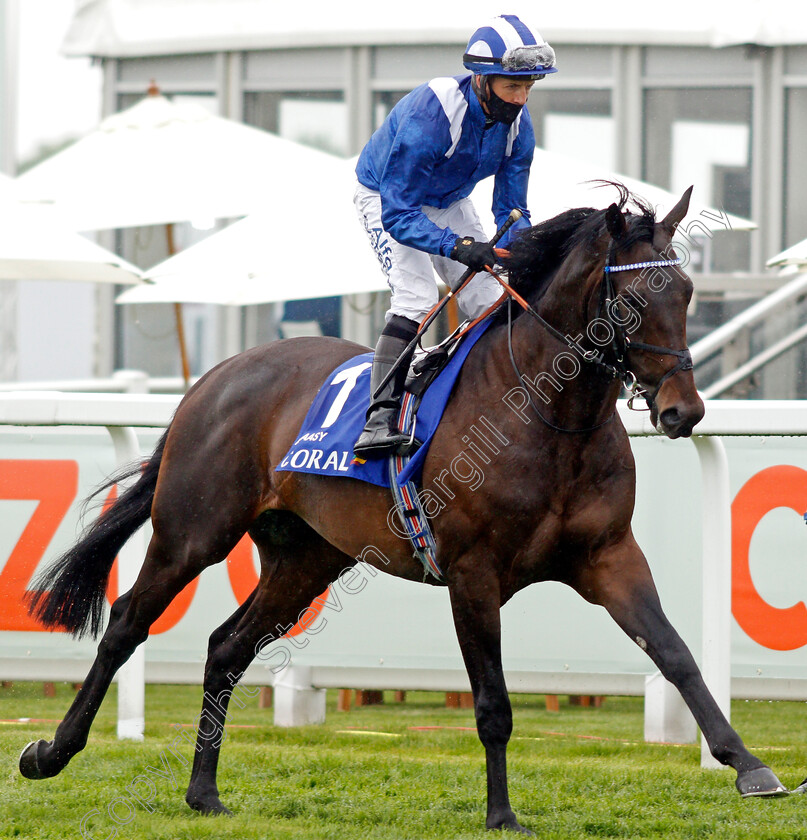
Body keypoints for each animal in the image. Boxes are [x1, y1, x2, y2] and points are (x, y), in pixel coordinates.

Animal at [20, 185, 788, 832]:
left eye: (686, 292)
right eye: (627, 299)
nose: (683, 411)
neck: (547, 416)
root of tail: (214, 377)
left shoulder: (607, 556)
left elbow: (677, 654)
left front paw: (749, 766)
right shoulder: (473, 573)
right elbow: (492, 701)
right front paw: (502, 815)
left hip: (306, 558)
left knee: (225, 648)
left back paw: (203, 792)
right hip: (195, 530)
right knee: (126, 622)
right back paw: (52, 752)